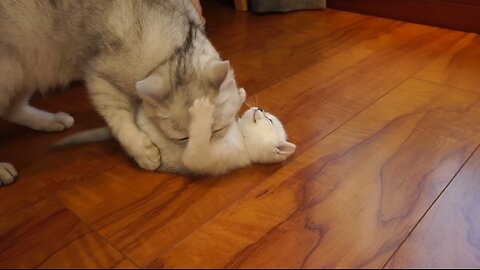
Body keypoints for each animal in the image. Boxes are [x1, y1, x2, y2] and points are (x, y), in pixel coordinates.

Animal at [0, 0, 242, 185]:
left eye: (217, 129)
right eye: (183, 138)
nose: (204, 149)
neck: (174, 51)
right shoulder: (99, 78)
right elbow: (120, 122)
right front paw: (144, 152)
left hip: (27, 69)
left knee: (12, 110)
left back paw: (52, 121)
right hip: (11, 71)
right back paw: (3, 170)